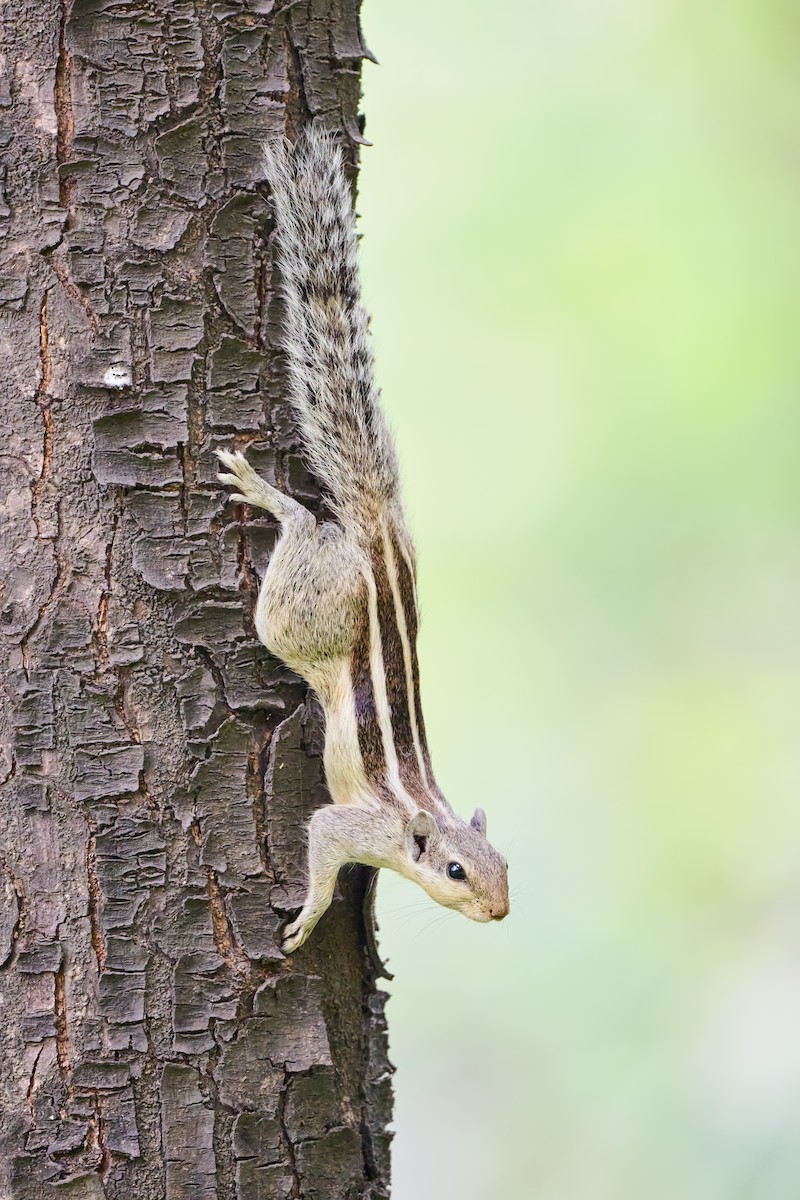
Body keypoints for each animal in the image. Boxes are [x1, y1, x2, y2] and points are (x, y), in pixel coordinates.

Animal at [217, 126, 509, 953]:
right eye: (456, 872)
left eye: (505, 864)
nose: (500, 911)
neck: (422, 818)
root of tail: (378, 529)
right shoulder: (351, 825)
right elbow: (321, 844)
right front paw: (311, 917)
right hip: (303, 615)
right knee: (303, 531)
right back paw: (274, 500)